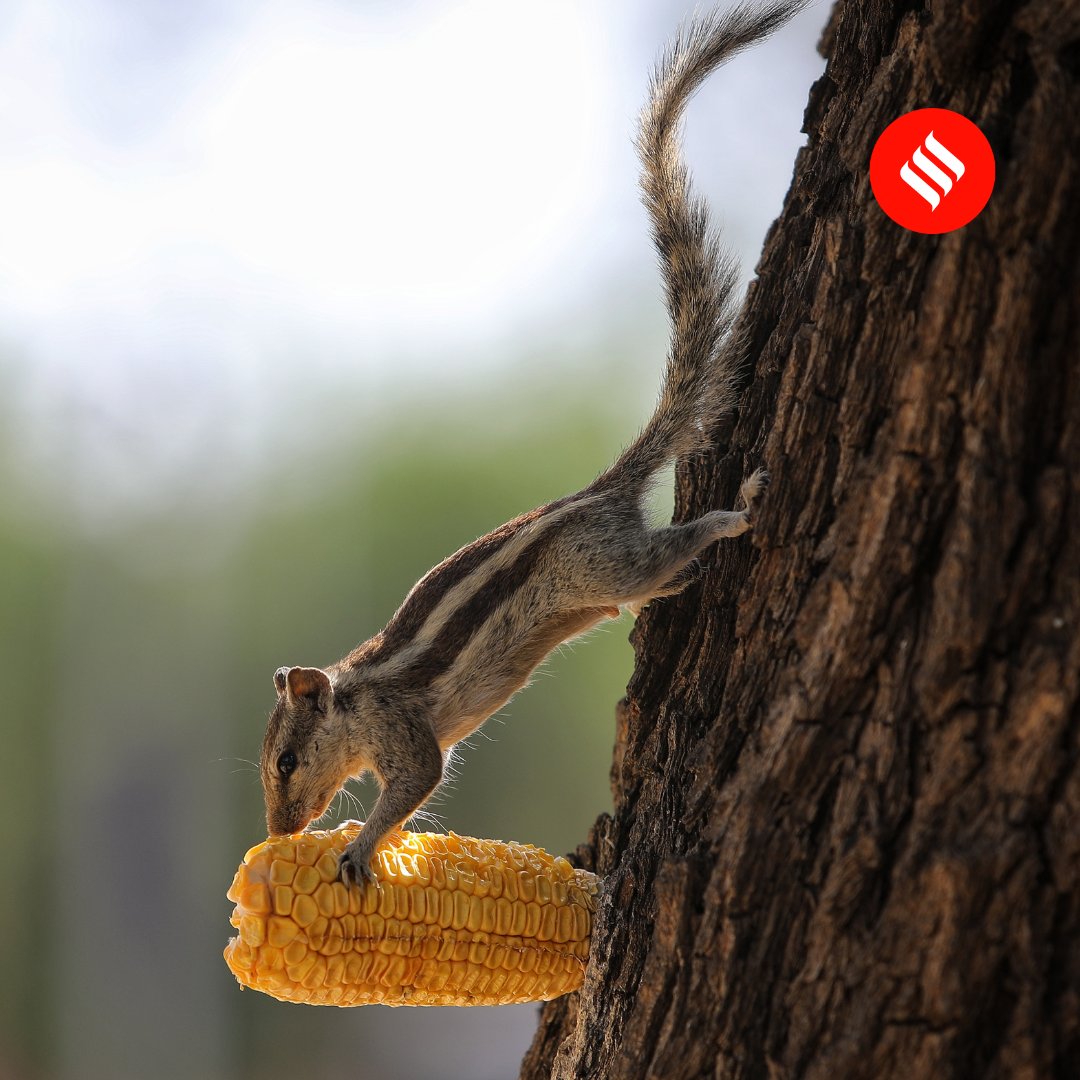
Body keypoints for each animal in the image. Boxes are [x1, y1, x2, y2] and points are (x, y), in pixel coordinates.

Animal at [261, 1, 806, 887]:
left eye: (284, 762)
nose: (277, 830)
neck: (356, 693)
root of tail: (598, 493)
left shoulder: (403, 731)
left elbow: (417, 783)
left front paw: (360, 847)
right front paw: (340, 834)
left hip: (605, 562)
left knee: (675, 546)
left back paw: (739, 512)